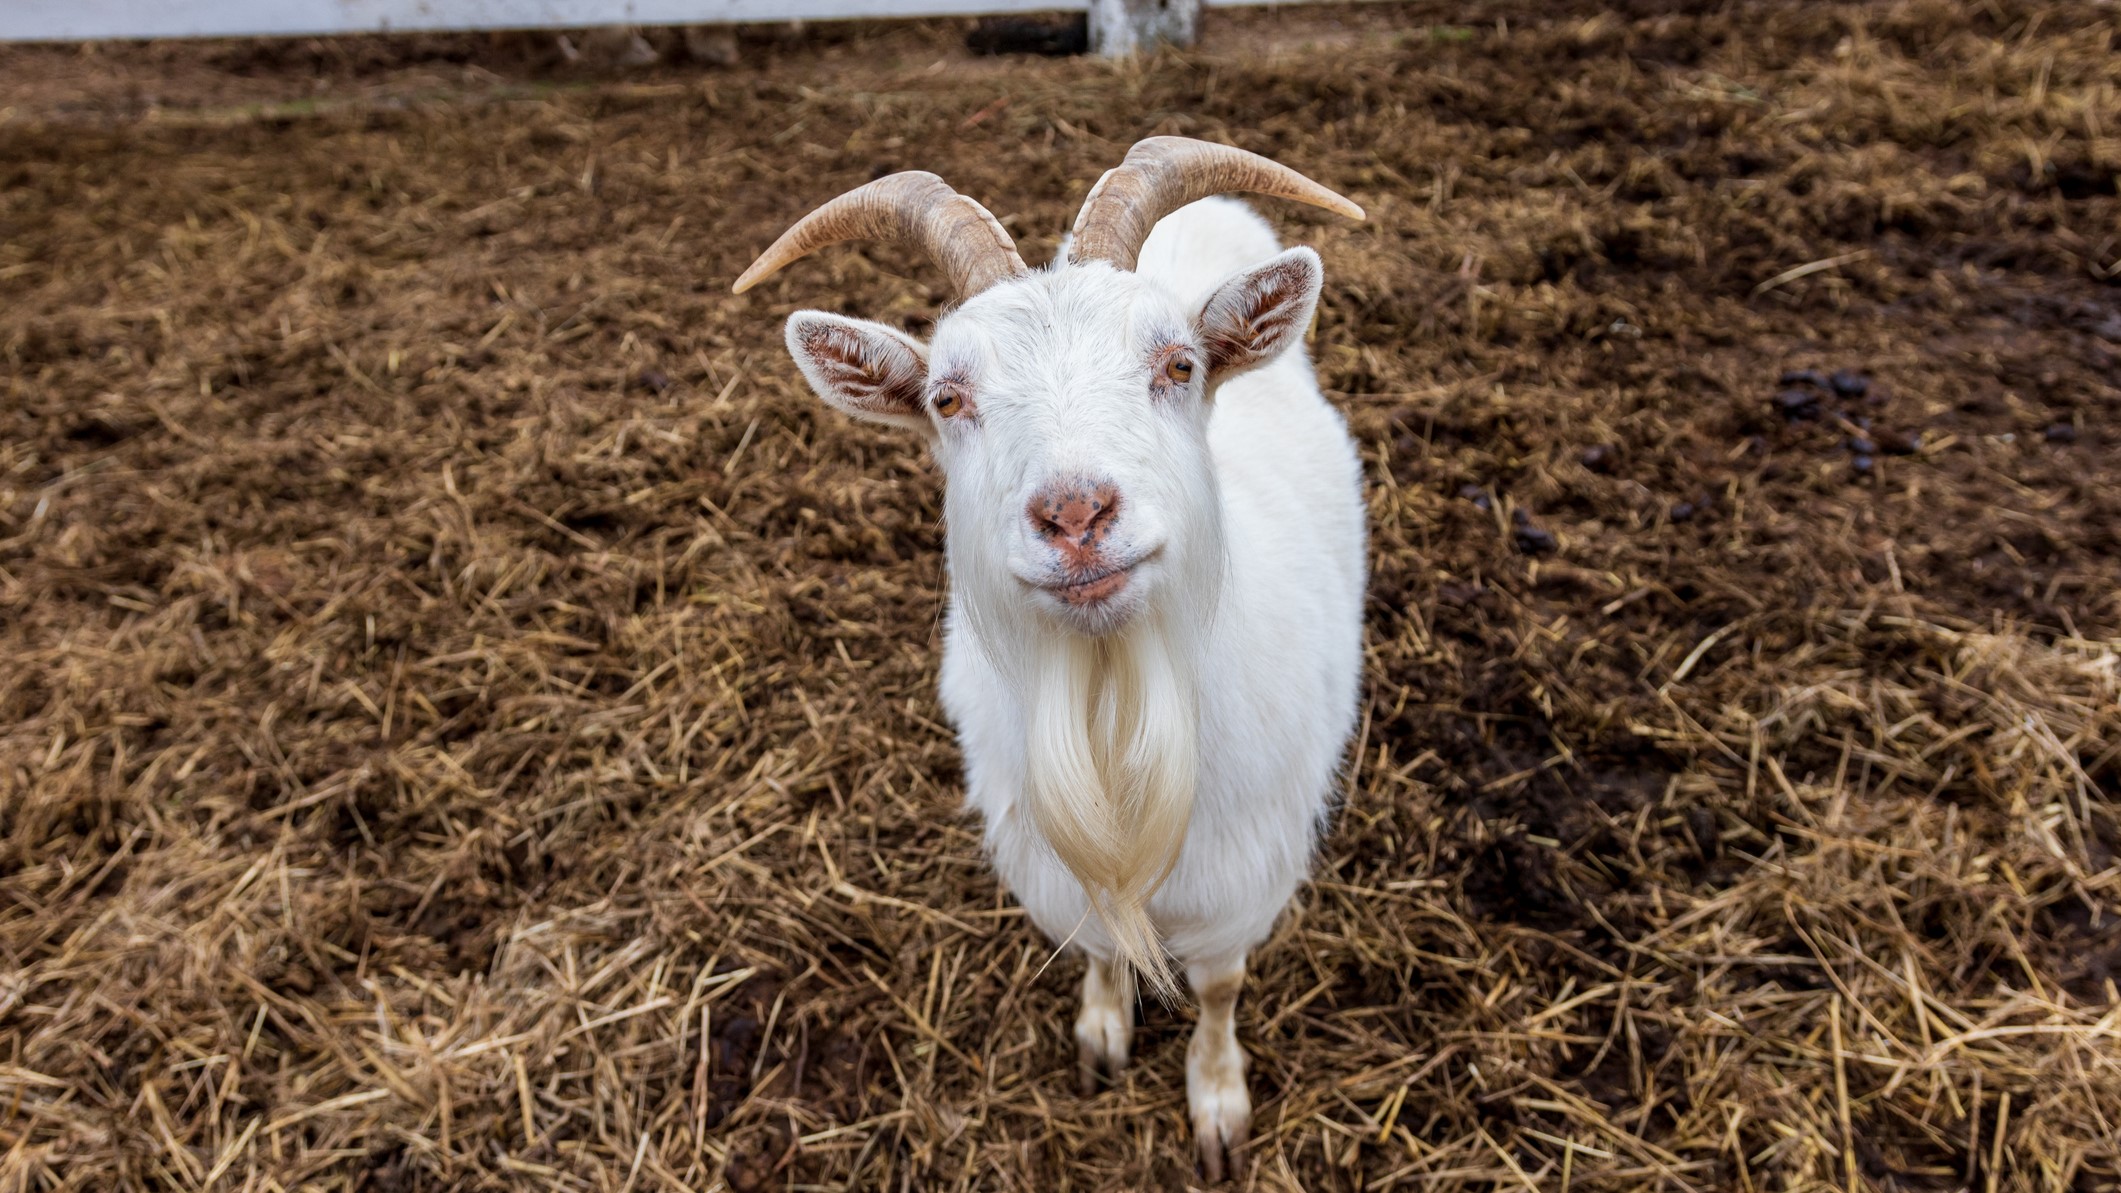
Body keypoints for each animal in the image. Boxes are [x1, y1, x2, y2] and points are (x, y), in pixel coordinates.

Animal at [742, 136, 1374, 1171]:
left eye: (1179, 363)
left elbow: (1218, 988)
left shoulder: (1245, 881)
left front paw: (1216, 1104)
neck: (1114, 696)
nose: (1075, 513)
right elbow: (1103, 949)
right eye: (945, 397)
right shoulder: (1059, 867)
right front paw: (1102, 1036)